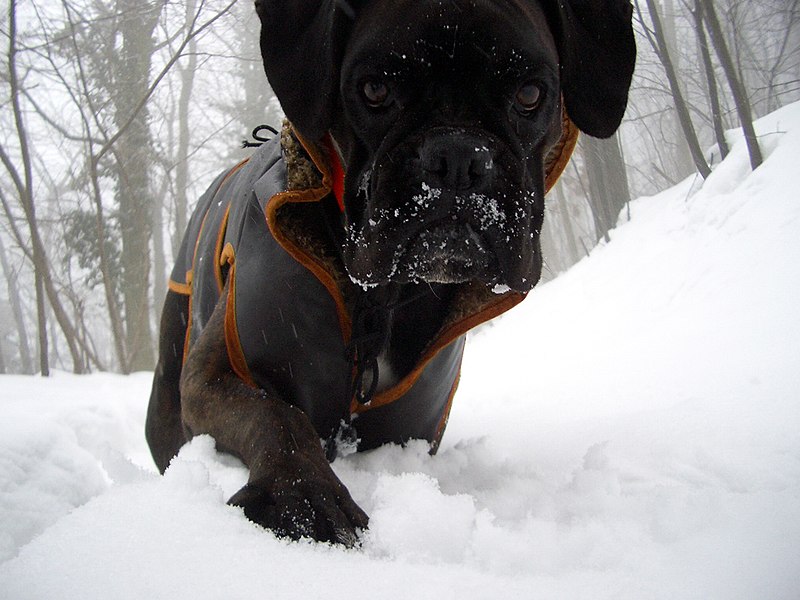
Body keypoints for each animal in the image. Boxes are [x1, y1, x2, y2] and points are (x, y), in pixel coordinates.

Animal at [145, 0, 636, 544]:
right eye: (375, 90)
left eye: (530, 94)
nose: (458, 155)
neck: (380, 300)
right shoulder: (212, 376)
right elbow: (276, 415)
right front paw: (303, 500)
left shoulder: (412, 426)